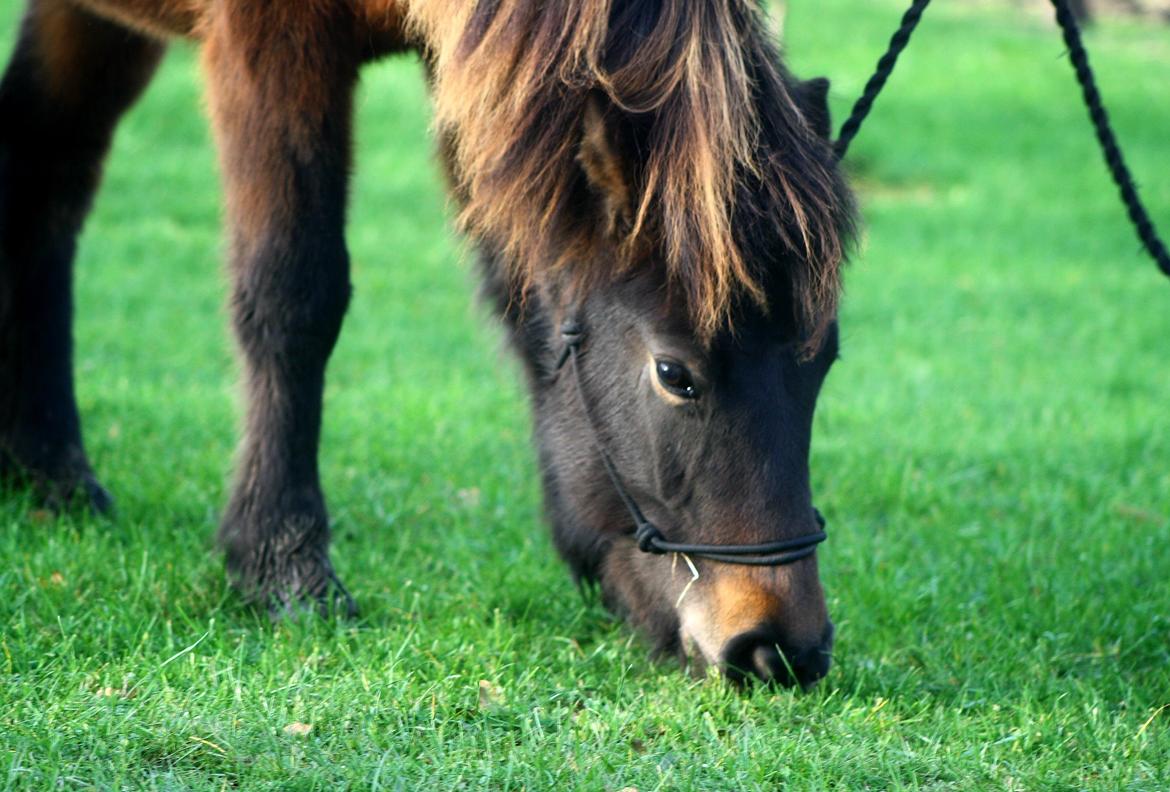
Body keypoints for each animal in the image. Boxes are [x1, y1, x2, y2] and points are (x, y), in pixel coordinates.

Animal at [2, 0, 861, 683]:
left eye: (824, 364)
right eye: (675, 374)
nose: (780, 648)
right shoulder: (269, 45)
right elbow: (293, 292)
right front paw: (282, 563)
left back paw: (52, 471)